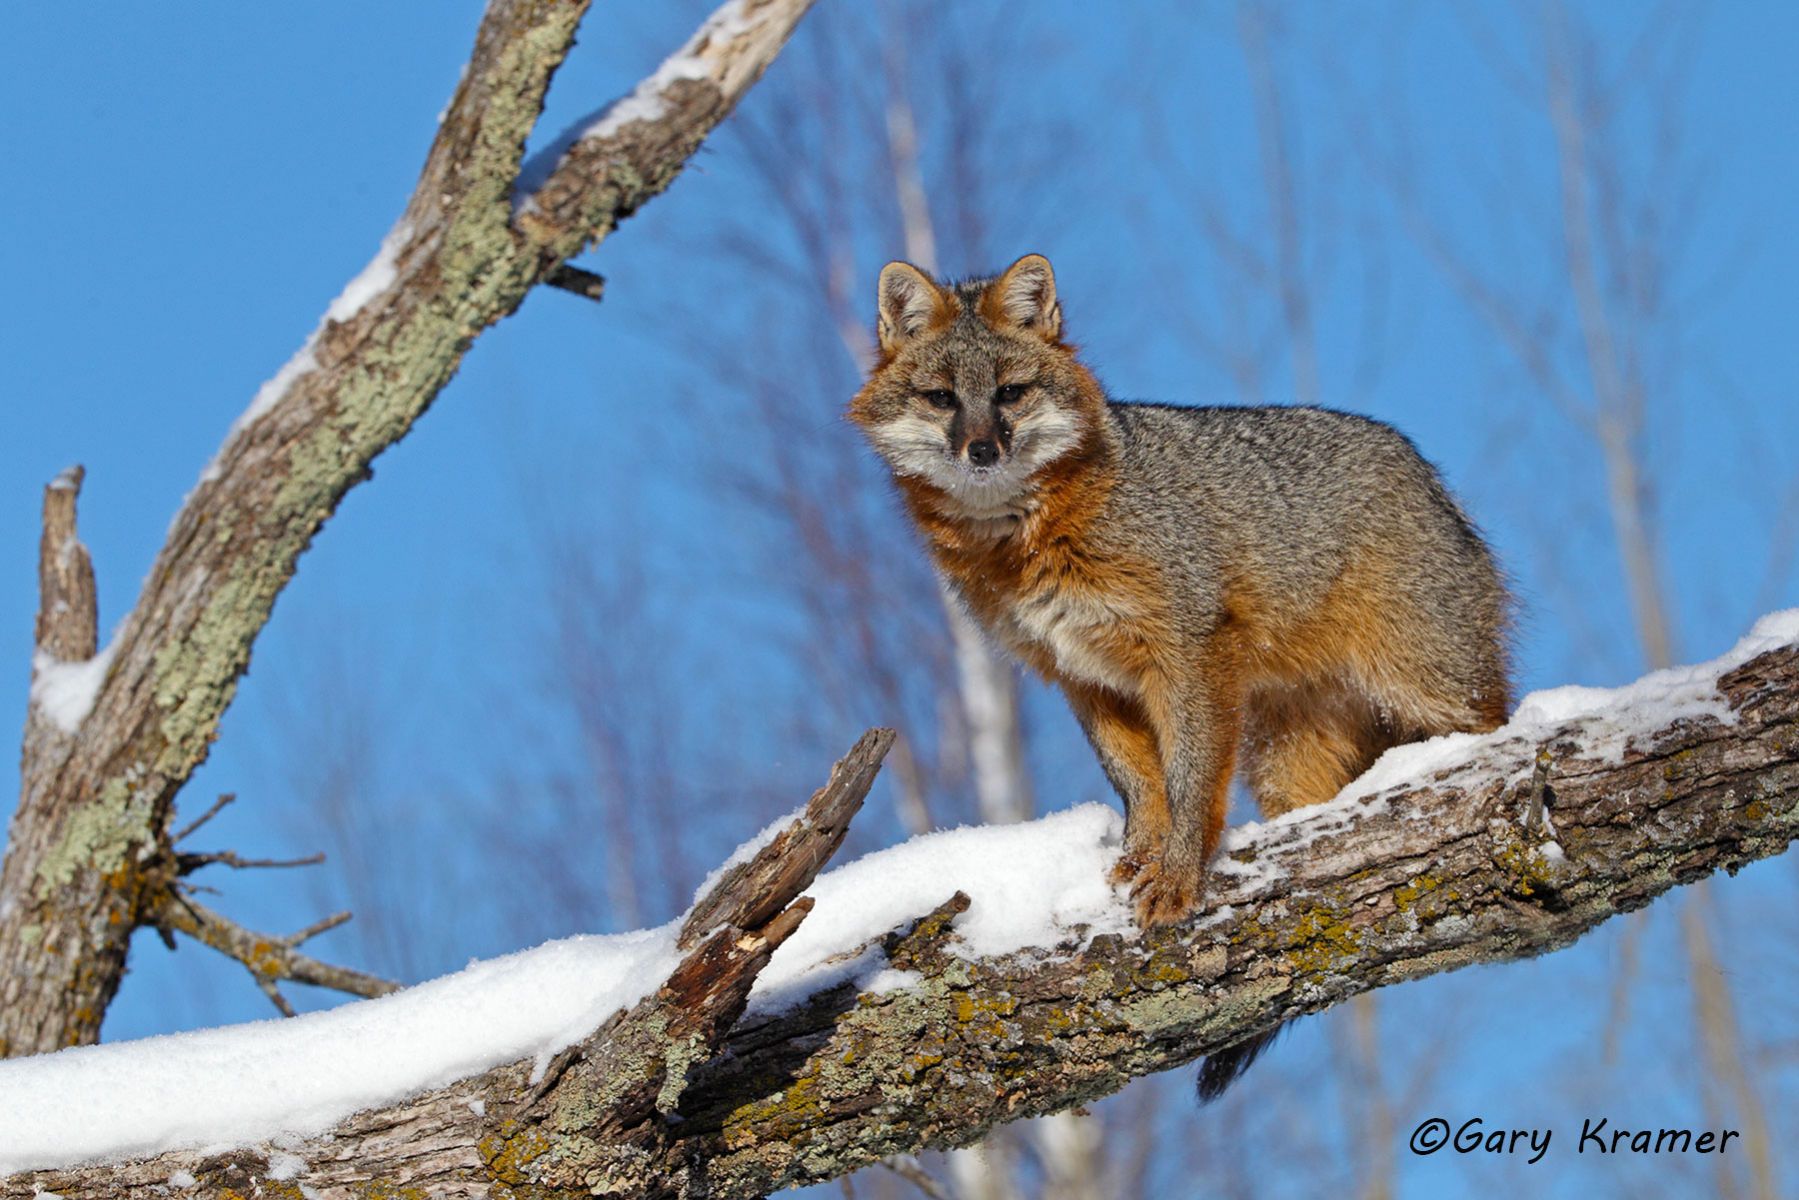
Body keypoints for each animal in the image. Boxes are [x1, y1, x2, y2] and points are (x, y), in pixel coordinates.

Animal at [848, 253, 1512, 1097]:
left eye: (1009, 392)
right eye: (941, 398)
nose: (982, 450)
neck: (1028, 542)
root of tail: (1430, 477)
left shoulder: (1188, 653)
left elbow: (1190, 779)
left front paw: (1178, 876)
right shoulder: (1084, 678)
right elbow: (1138, 781)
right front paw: (1141, 854)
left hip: (1424, 685)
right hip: (1284, 761)